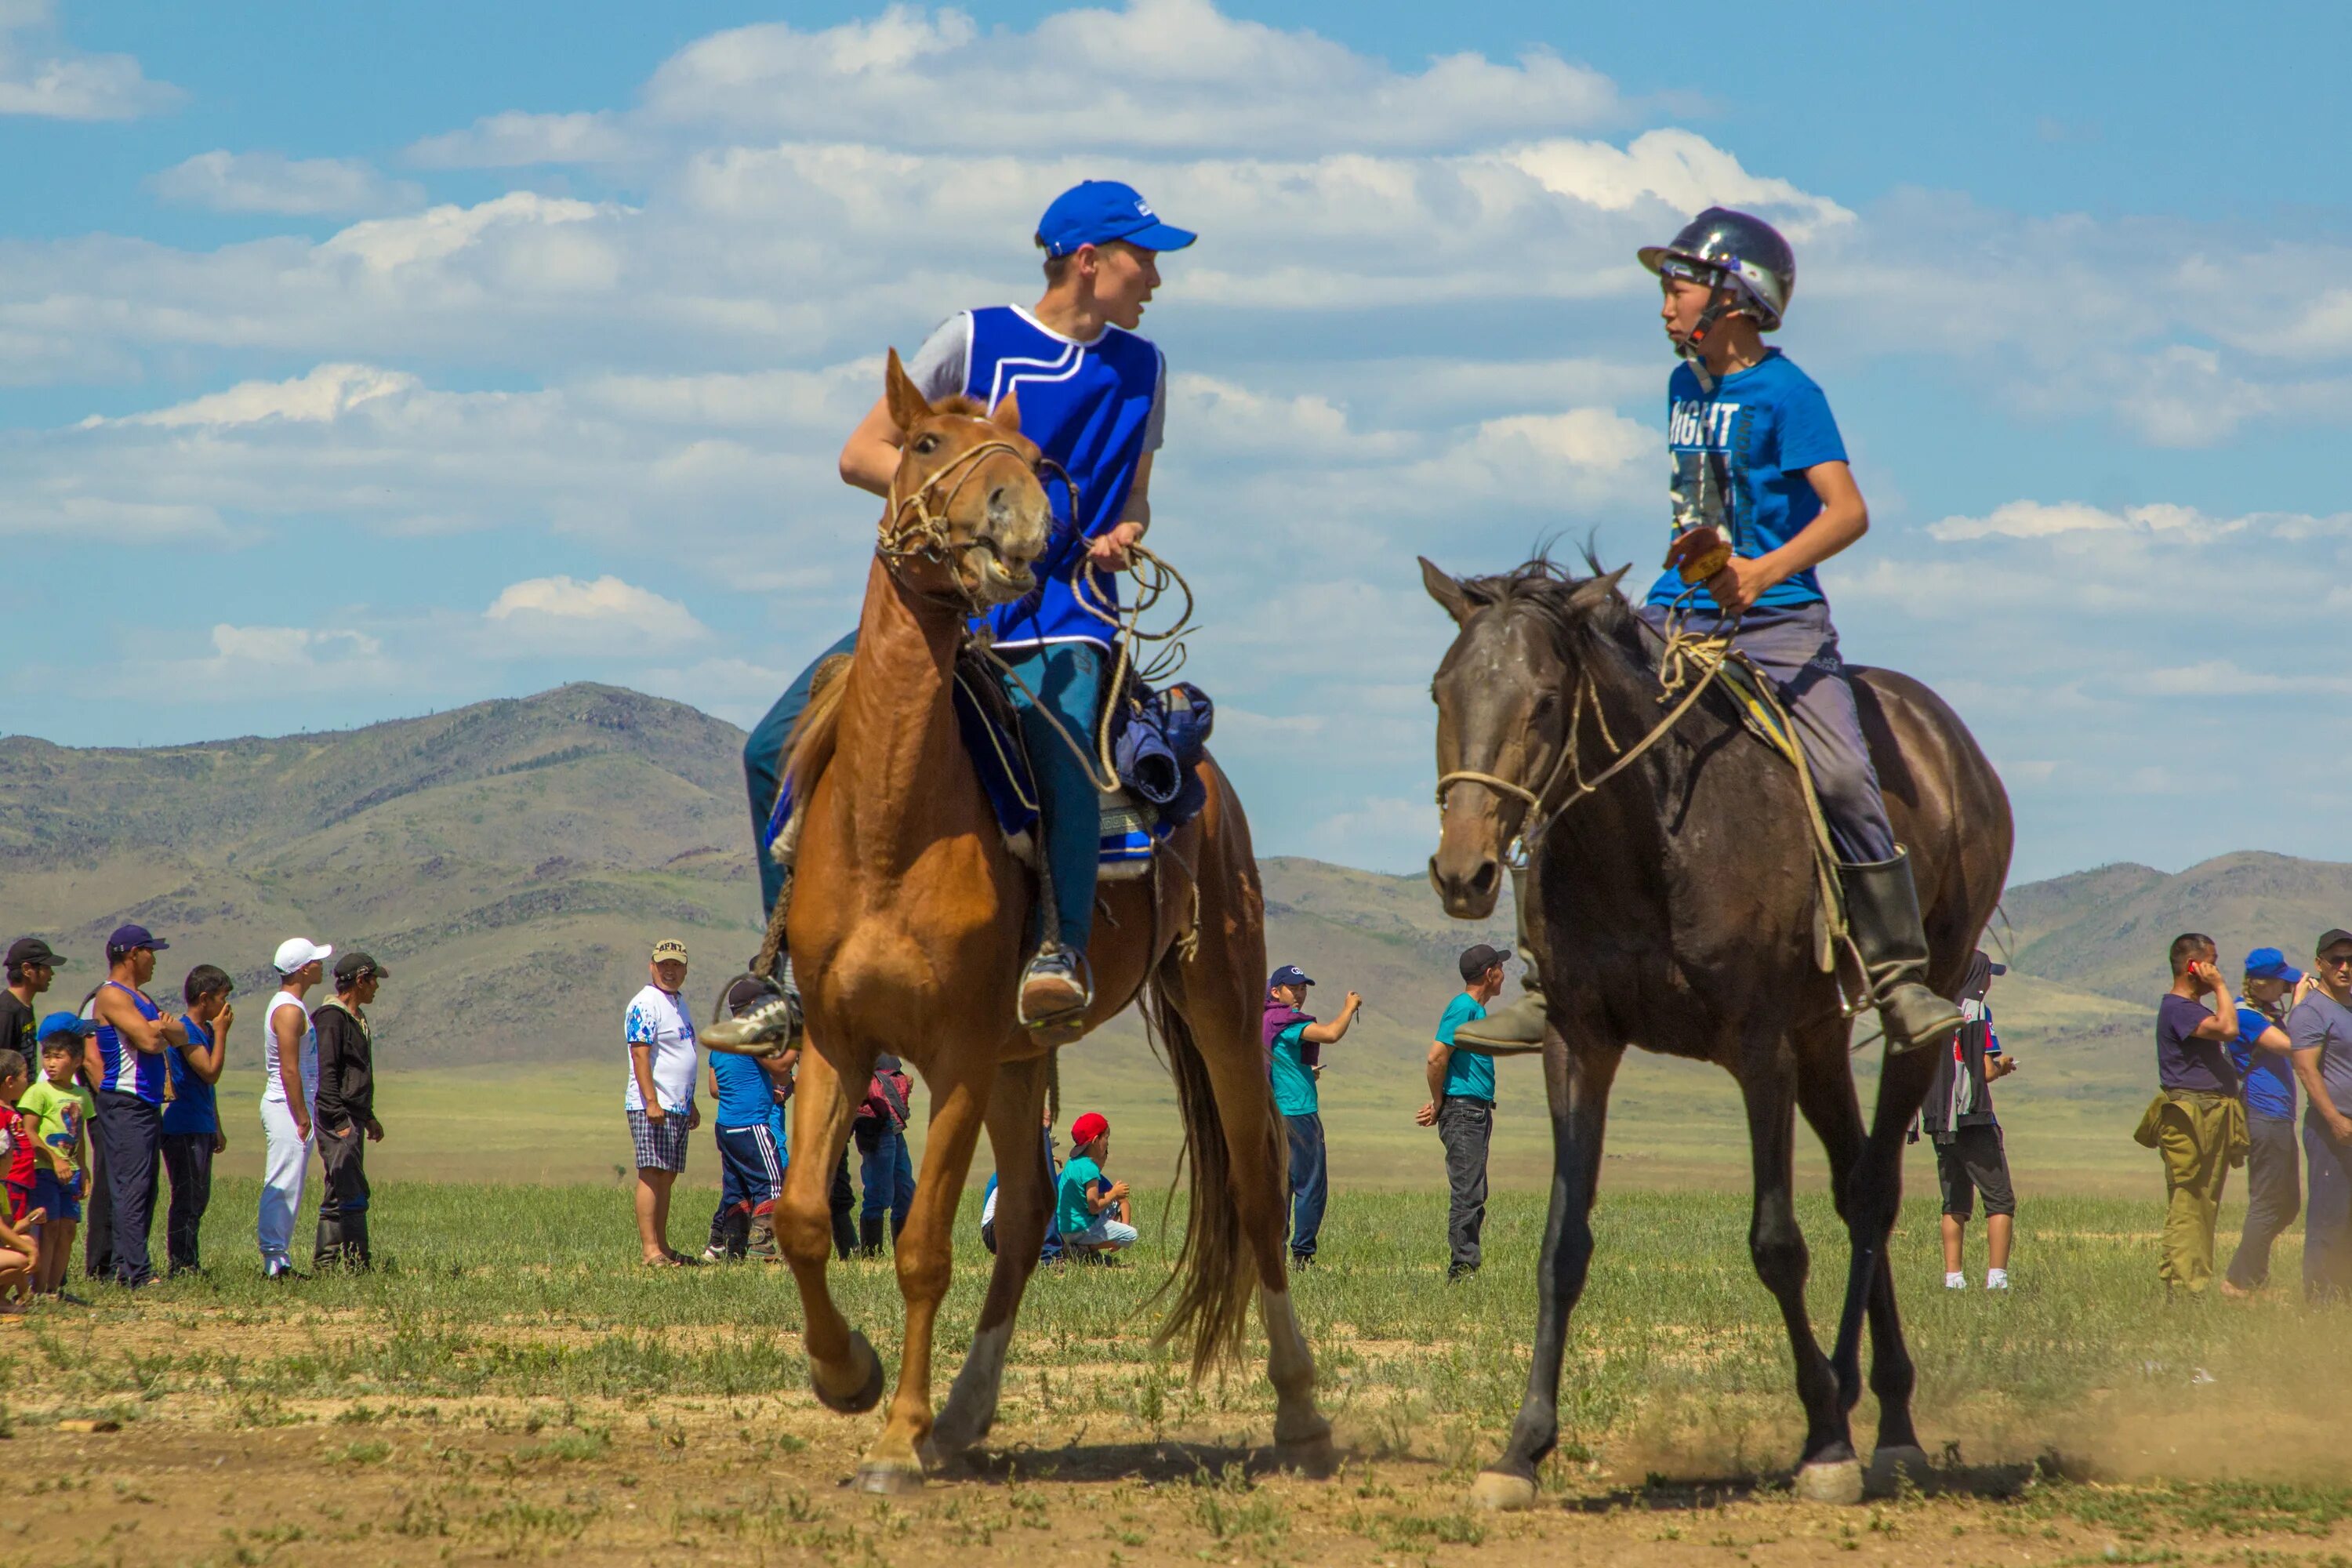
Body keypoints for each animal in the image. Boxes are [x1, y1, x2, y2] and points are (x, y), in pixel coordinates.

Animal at [771, 352, 1327, 1495]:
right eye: (925, 443)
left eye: (1034, 458)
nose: (1020, 521)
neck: (890, 823)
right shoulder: (840, 1042)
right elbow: (804, 1218)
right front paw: (848, 1376)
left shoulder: (956, 1054)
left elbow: (923, 1247)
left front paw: (892, 1439)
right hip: (1024, 1054)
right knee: (1028, 1218)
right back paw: (963, 1416)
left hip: (1217, 999)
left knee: (1258, 1192)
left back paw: (1299, 1414)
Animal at [1421, 557, 2013, 1514]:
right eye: (1442, 691)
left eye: (1545, 700)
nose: (1462, 871)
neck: (1649, 839)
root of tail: (1949, 738)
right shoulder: (1579, 1046)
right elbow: (1561, 1247)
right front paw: (1521, 1449)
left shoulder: (1758, 1049)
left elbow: (1776, 1243)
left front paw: (1823, 1443)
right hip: (1819, 1041)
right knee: (1854, 1184)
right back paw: (1875, 1404)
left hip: (1921, 1006)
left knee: (1875, 1191)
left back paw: (1876, 1424)